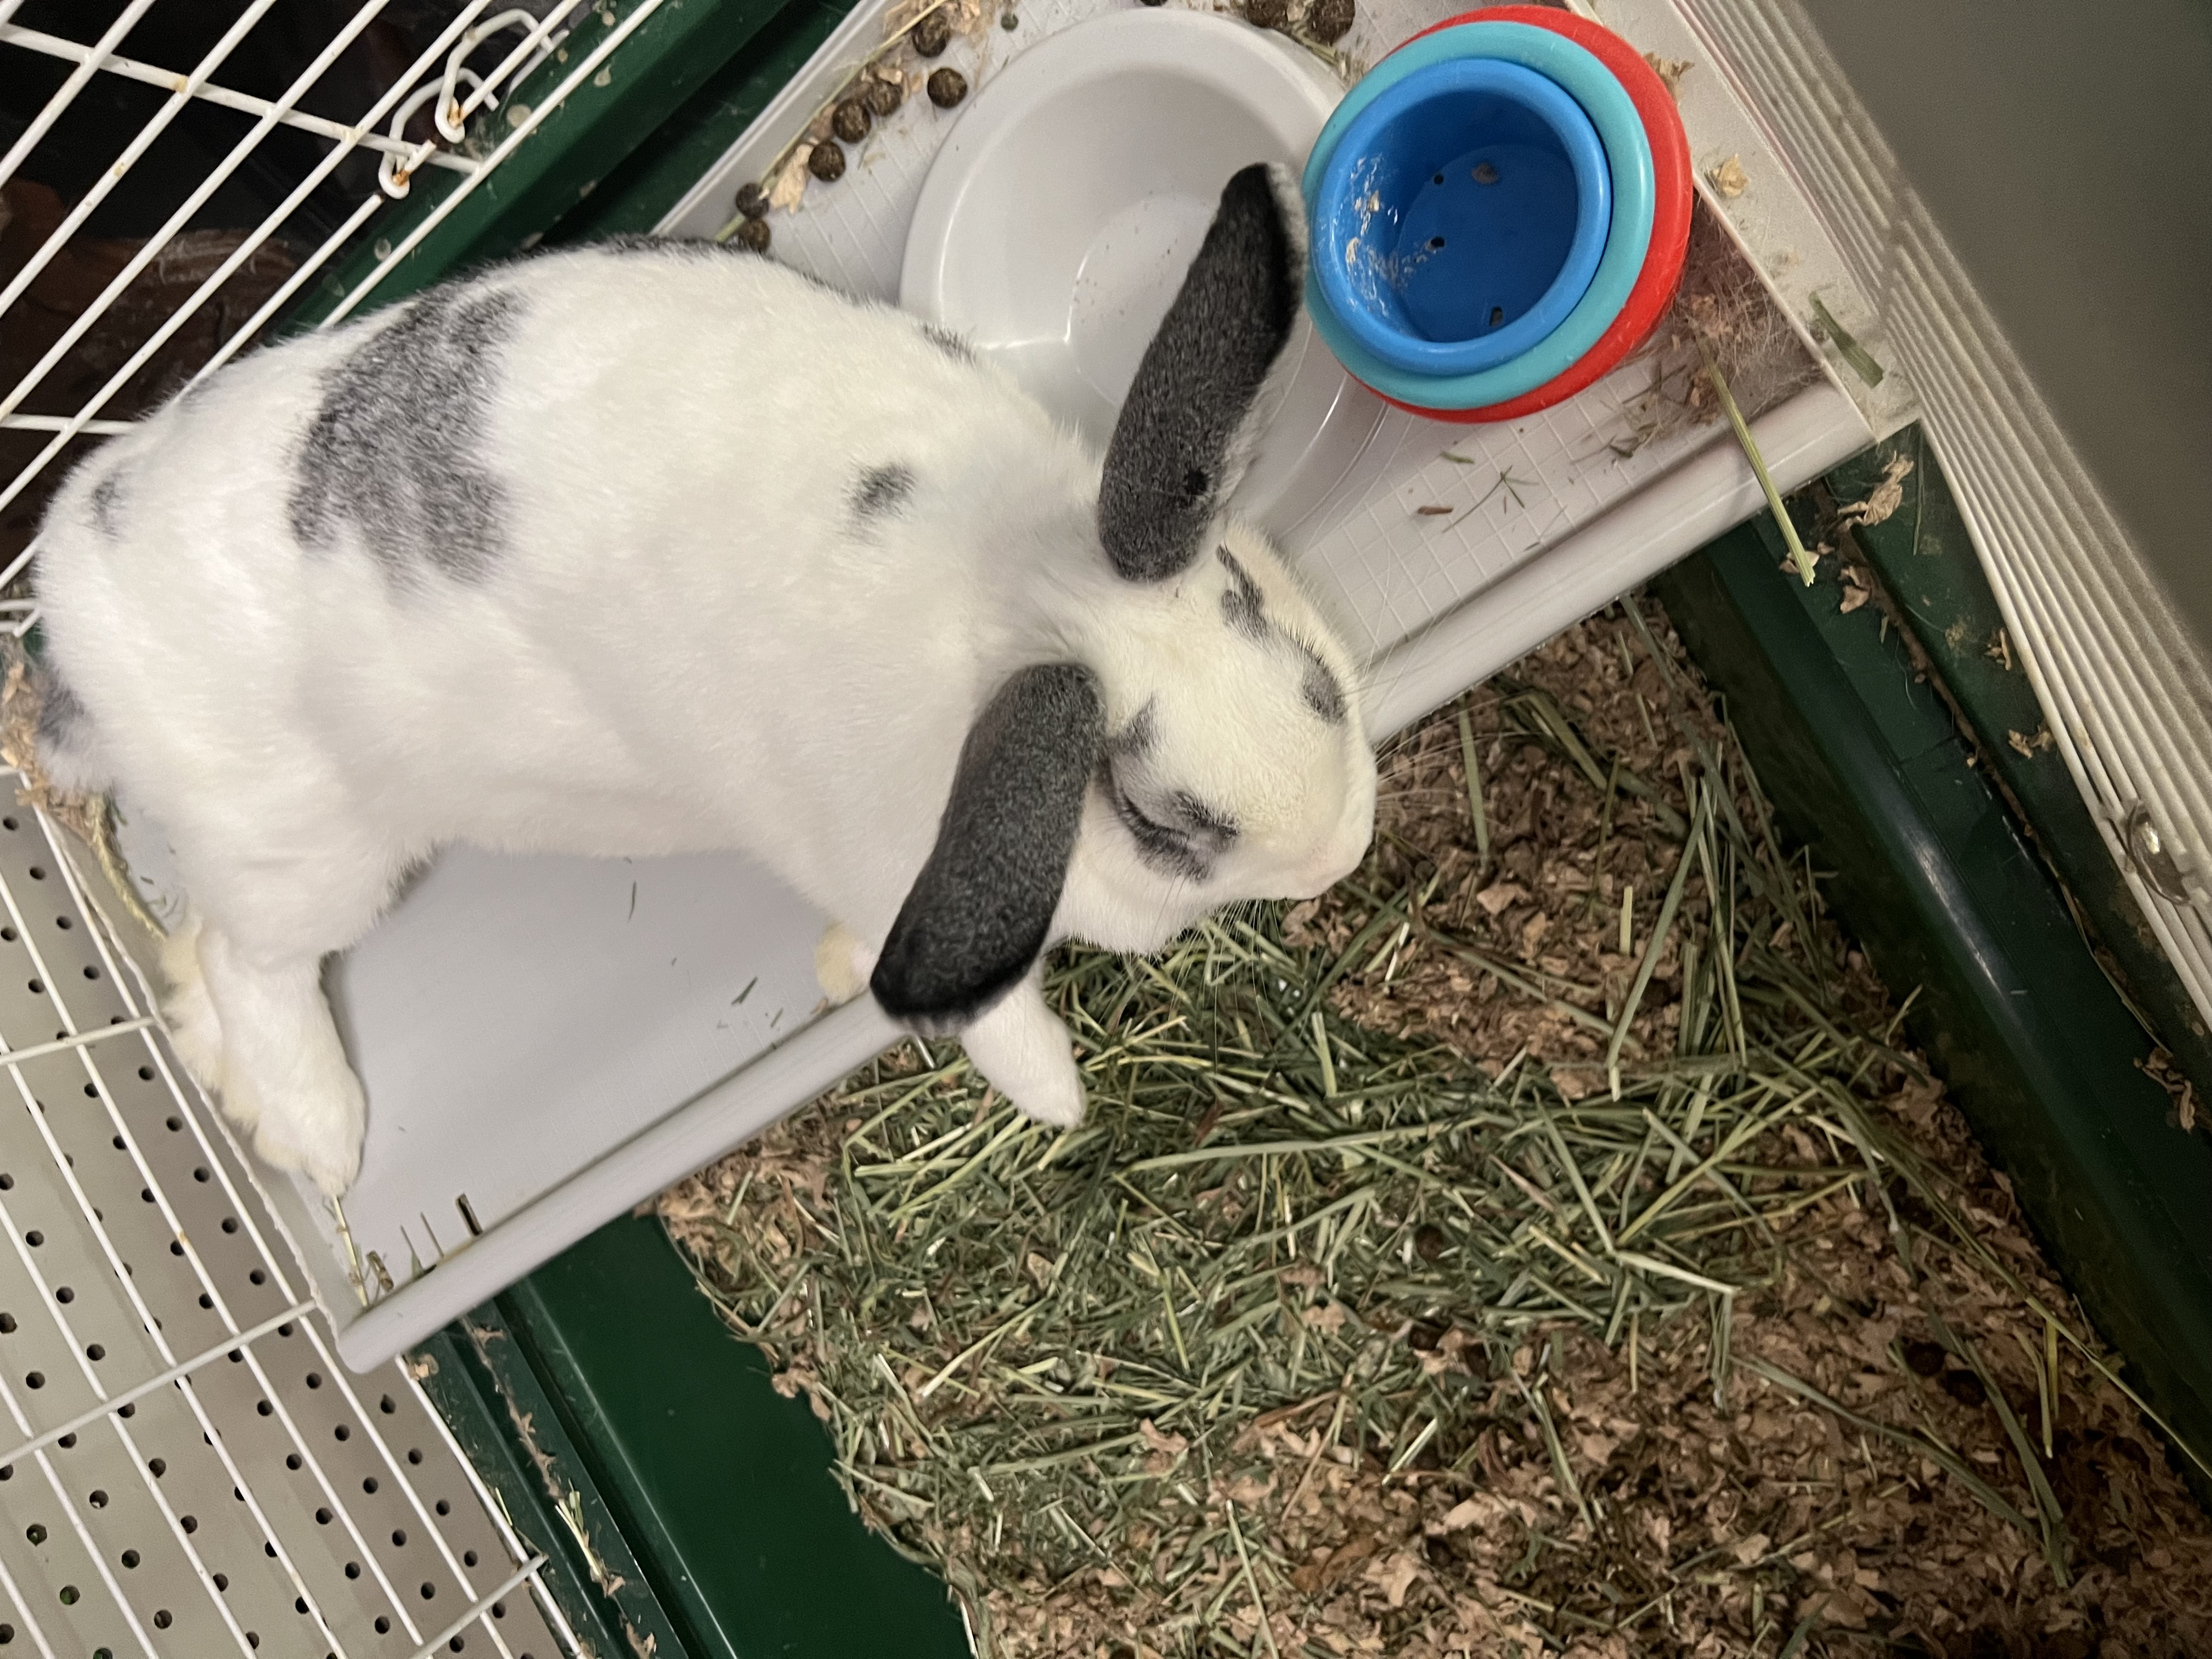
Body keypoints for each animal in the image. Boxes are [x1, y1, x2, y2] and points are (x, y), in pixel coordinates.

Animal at [29, 162, 1378, 1199]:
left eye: (1276, 632)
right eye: (1159, 819)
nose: (1340, 853)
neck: (1011, 596)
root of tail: (66, 589)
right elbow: (993, 1021)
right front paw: (1055, 1099)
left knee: (202, 950)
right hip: (310, 848)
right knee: (251, 962)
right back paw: (317, 1133)